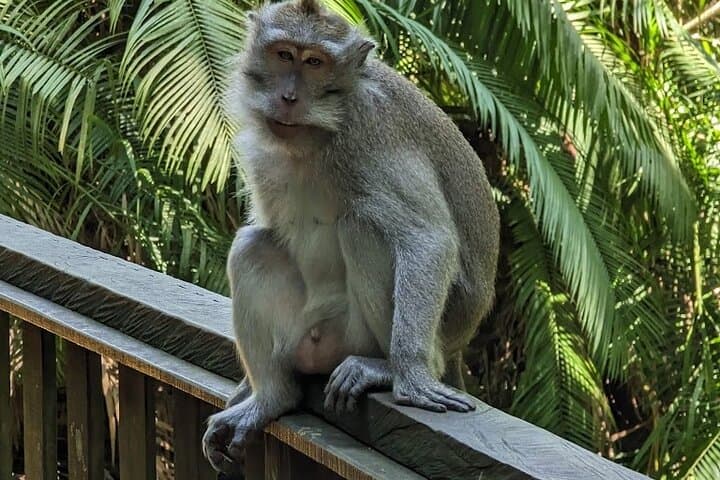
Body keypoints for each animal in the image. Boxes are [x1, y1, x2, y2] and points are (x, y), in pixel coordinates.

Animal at [202, 0, 500, 473]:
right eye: (284, 55)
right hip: (301, 333)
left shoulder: (372, 131)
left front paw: (410, 371)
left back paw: (387, 366)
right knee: (252, 246)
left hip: (362, 334)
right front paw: (244, 390)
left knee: (362, 226)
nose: (288, 98)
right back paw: (271, 396)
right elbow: (266, 227)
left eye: (315, 63)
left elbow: (427, 237)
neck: (317, 135)